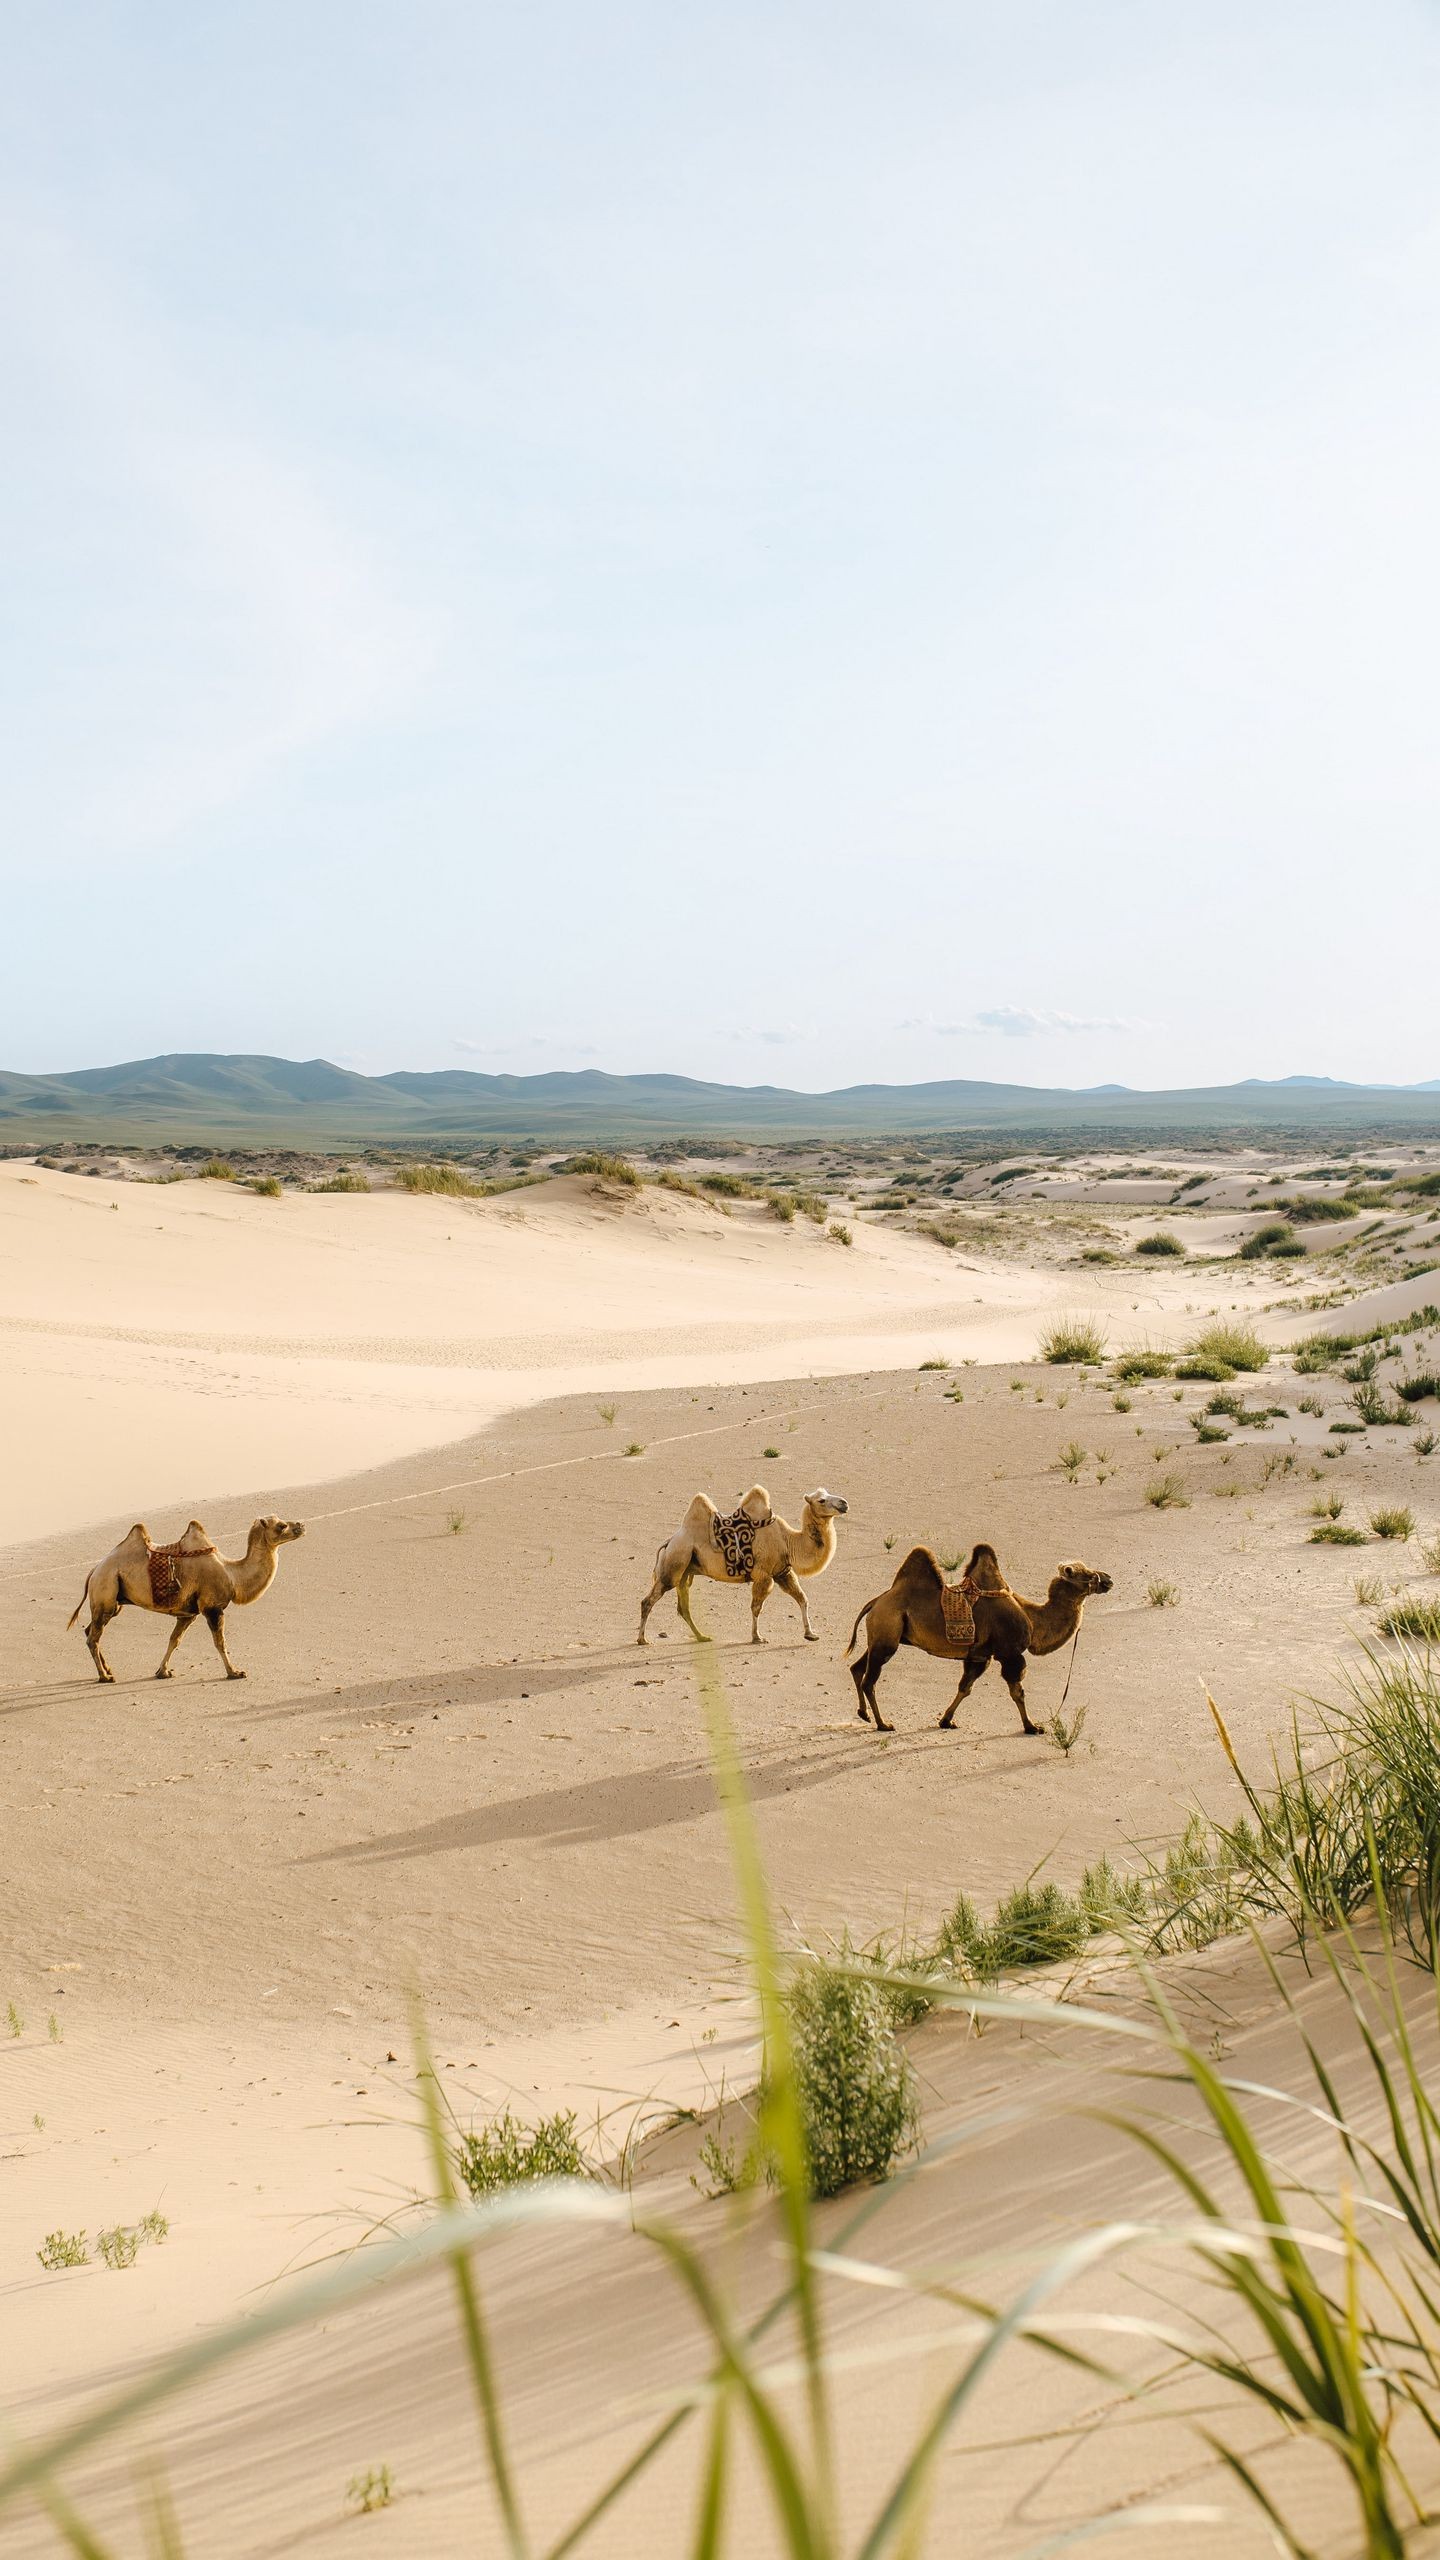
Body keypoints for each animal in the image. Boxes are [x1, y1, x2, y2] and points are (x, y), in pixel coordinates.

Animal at [68, 1505, 303, 1689]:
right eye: (281, 1525)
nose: (300, 1525)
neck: (232, 1575)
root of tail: (94, 1570)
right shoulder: (212, 1608)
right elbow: (220, 1642)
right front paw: (234, 1672)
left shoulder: (188, 1613)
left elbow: (175, 1640)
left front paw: (162, 1671)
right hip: (106, 1588)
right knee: (93, 1636)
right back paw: (104, 1676)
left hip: (113, 1600)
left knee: (91, 1630)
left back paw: (108, 1669)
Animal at [632, 1495, 845, 1648]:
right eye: (821, 1500)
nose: (844, 1503)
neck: (789, 1541)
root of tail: (669, 1542)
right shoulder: (764, 1575)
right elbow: (756, 1607)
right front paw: (757, 1637)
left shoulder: (782, 1573)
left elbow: (802, 1599)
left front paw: (810, 1634)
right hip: (674, 1564)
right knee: (648, 1601)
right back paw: (642, 1639)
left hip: (685, 1572)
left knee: (683, 1608)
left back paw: (702, 1637)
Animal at [840, 1536, 1112, 1740]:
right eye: (1084, 1573)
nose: (1108, 1579)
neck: (1033, 1619)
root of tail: (876, 1601)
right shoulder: (1009, 1653)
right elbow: (1018, 1691)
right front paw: (1032, 1727)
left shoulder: (981, 1655)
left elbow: (965, 1687)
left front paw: (946, 1720)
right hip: (887, 1633)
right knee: (869, 1680)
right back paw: (883, 1724)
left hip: (881, 1636)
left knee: (857, 1668)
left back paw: (864, 1714)